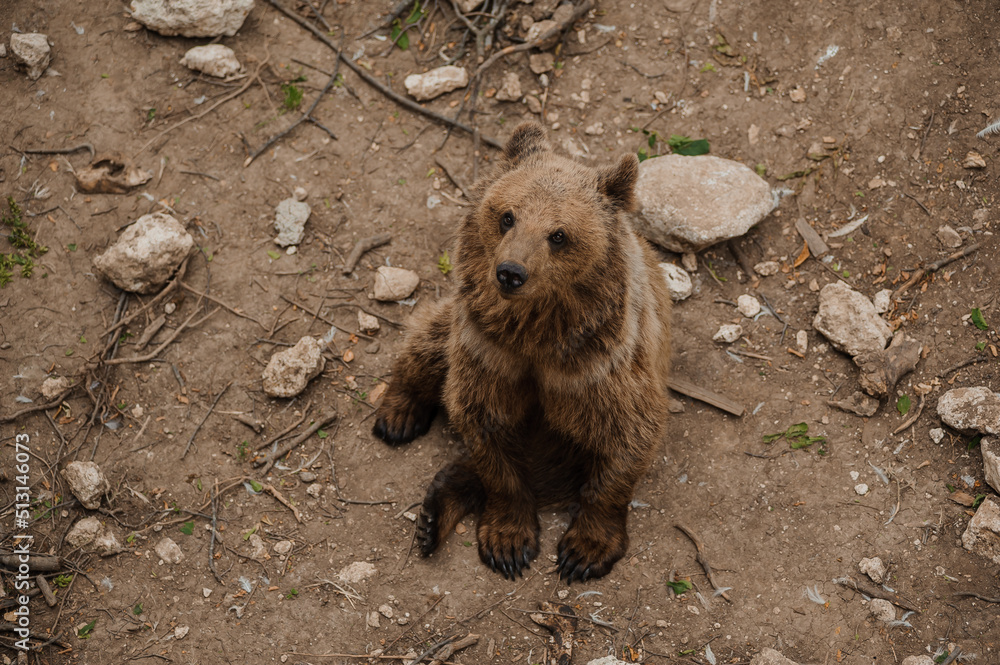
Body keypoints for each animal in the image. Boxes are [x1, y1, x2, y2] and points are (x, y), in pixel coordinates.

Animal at [372, 122, 672, 583]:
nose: (511, 272)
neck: (538, 335)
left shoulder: (599, 369)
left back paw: (435, 511)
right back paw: (400, 419)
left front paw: (585, 551)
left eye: (559, 235)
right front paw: (508, 542)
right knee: (430, 340)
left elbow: (626, 437)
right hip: (459, 326)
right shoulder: (490, 354)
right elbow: (488, 435)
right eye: (507, 216)